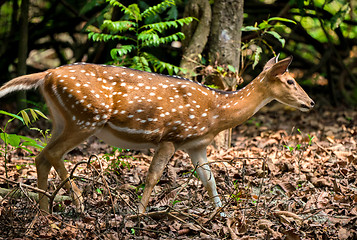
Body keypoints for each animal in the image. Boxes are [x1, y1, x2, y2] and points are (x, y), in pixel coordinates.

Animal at [0, 55, 312, 214]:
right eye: (290, 81)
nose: (310, 103)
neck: (216, 111)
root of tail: (46, 75)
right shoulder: (171, 137)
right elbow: (152, 176)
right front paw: (139, 214)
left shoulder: (195, 144)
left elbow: (209, 180)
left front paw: (222, 214)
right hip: (86, 117)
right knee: (52, 154)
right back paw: (78, 202)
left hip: (62, 119)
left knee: (40, 156)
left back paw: (44, 213)